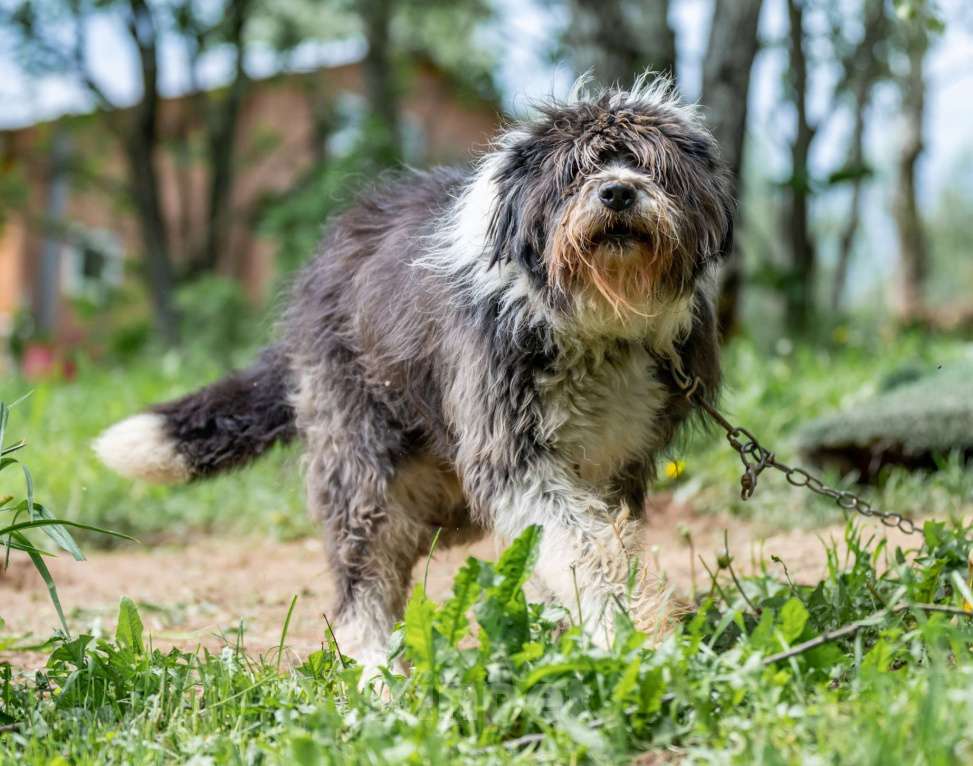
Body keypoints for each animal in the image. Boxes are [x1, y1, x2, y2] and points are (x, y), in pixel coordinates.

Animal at [95, 76, 732, 680]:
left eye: (651, 167)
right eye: (576, 171)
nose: (618, 191)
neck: (598, 323)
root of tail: (311, 286)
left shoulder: (613, 461)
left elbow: (588, 542)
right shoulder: (512, 451)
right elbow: (582, 544)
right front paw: (634, 634)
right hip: (359, 460)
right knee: (363, 578)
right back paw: (377, 672)